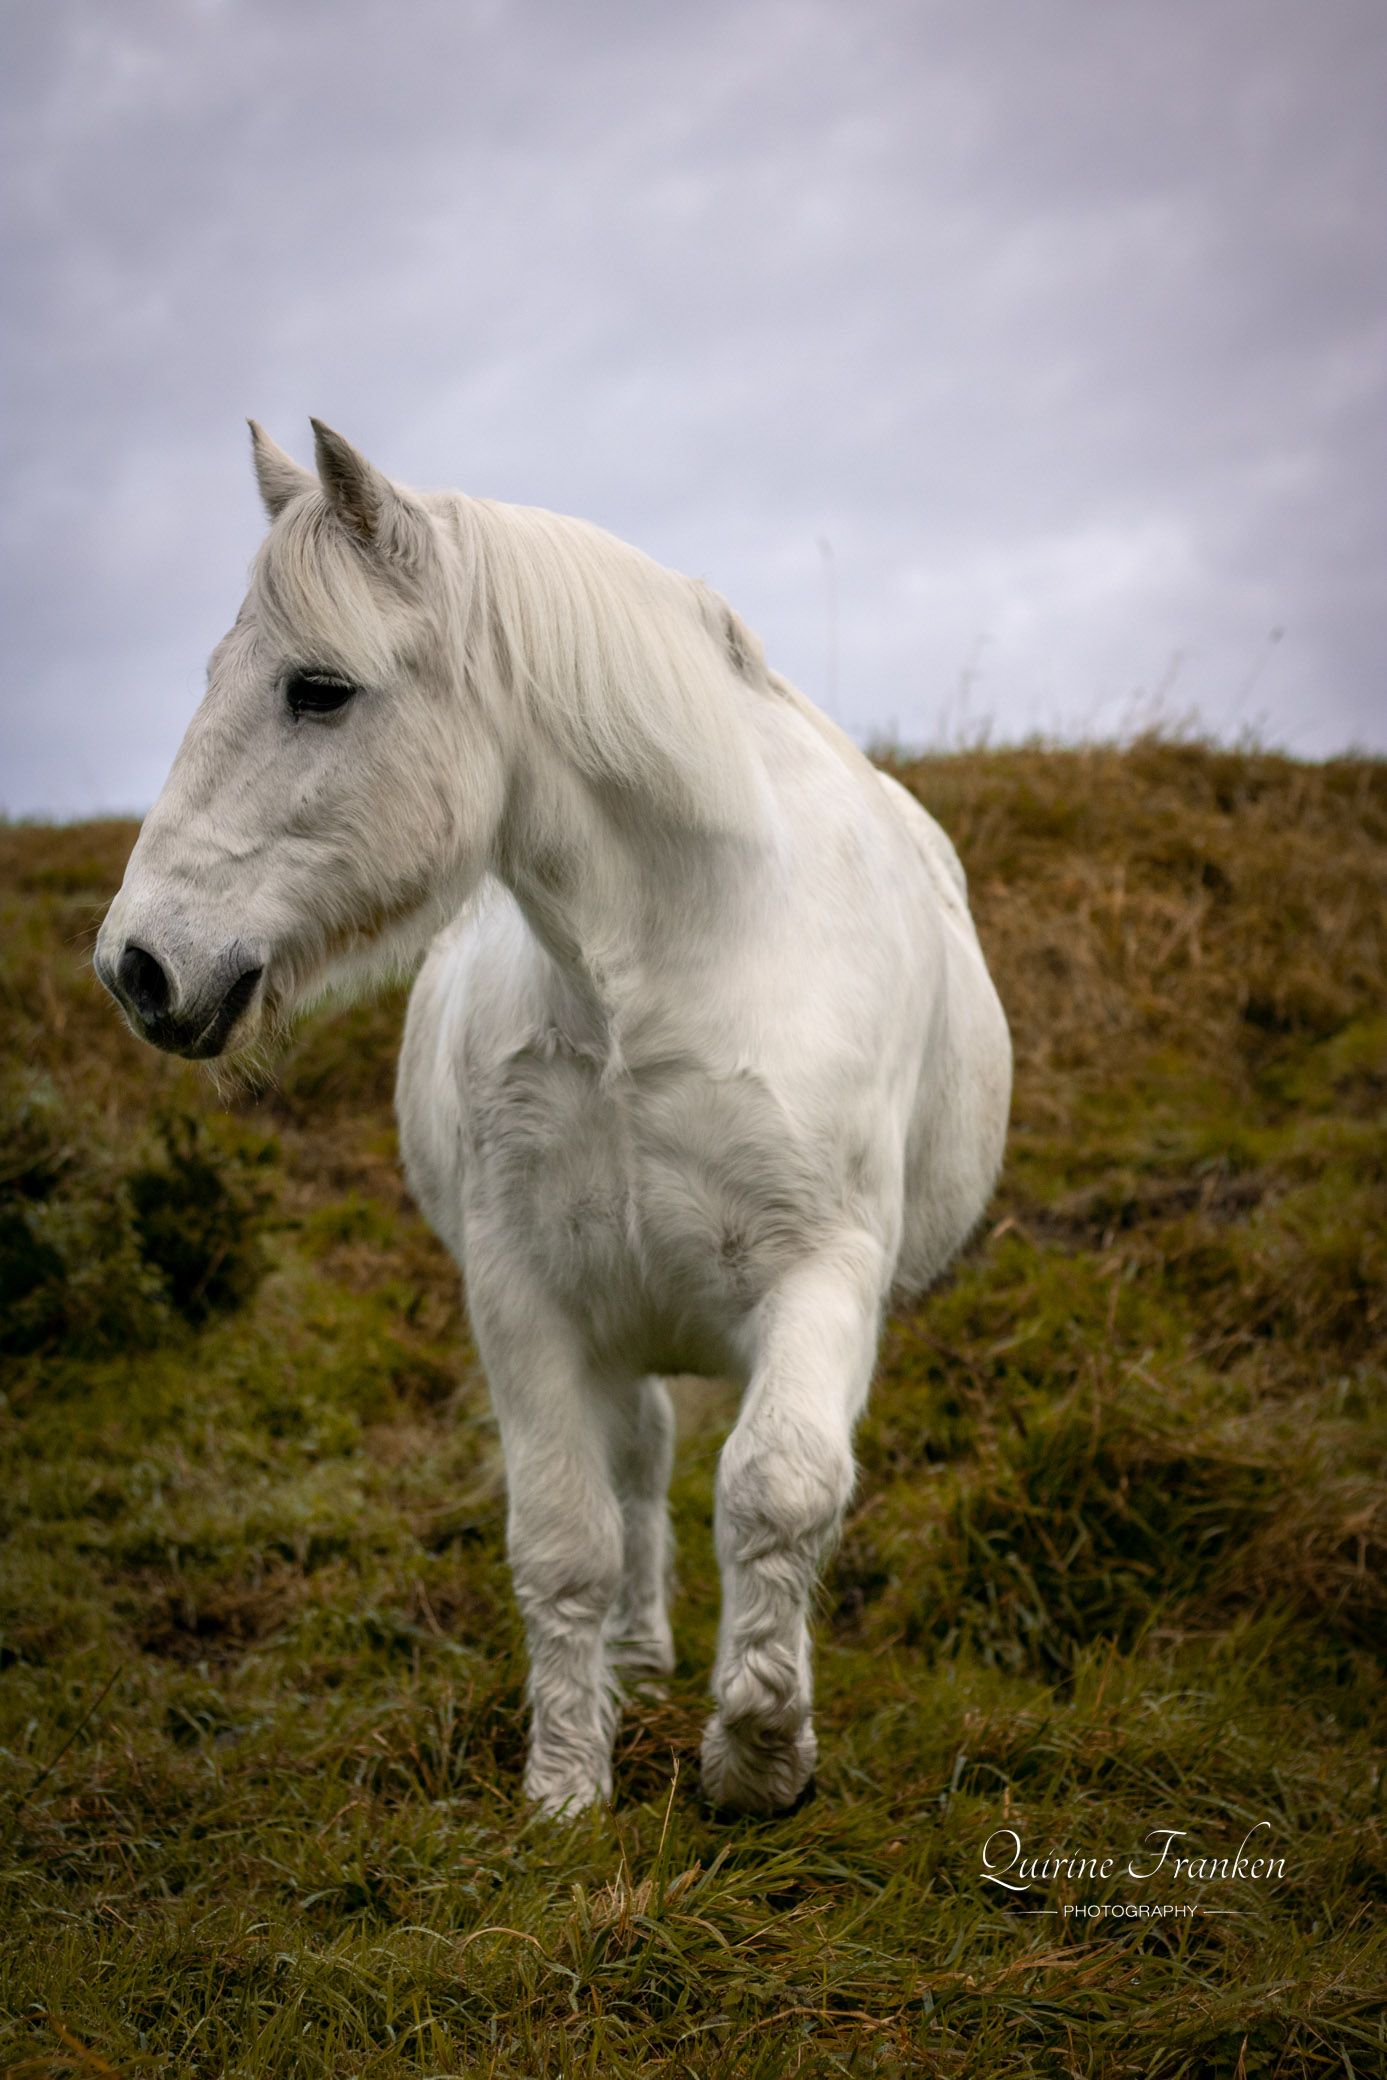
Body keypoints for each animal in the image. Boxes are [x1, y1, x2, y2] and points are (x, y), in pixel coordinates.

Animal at [95, 421, 1012, 1816]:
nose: (138, 968)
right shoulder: (528, 1298)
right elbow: (567, 1535)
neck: (671, 969)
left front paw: (757, 1756)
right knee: (637, 1461)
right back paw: (634, 1655)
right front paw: (568, 1788)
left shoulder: (824, 1274)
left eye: (318, 689)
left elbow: (778, 1487)